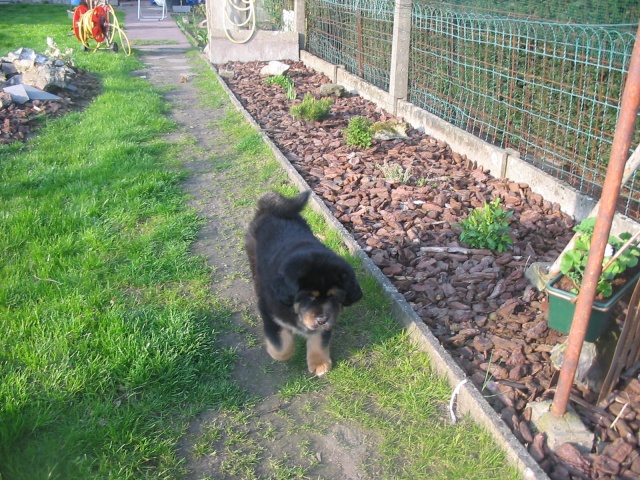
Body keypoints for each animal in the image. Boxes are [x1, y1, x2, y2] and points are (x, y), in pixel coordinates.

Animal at [245, 190, 362, 376]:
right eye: (309, 297)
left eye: (334, 296)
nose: (322, 319)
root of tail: (271, 209)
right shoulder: (270, 312)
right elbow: (281, 345)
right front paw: (278, 353)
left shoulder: (329, 318)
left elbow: (319, 339)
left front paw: (320, 363)